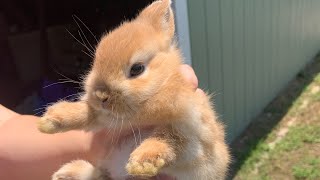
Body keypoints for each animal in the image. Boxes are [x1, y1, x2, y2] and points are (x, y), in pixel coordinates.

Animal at [38, 0, 230, 179]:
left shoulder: (193, 133)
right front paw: (50, 120)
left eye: (137, 69)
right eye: (96, 62)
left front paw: (142, 163)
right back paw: (66, 173)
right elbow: (88, 113)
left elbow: (167, 139)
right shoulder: (104, 118)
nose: (101, 96)